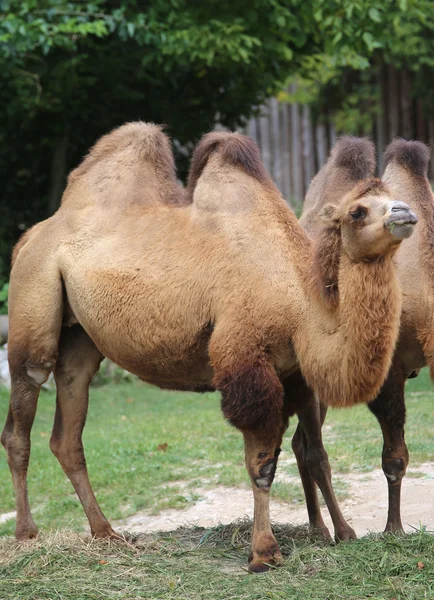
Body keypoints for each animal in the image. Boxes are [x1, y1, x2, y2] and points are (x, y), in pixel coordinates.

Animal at [1, 123, 418, 572]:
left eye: (392, 196)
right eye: (358, 211)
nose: (406, 213)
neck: (300, 304)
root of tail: (29, 237)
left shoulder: (294, 376)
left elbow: (310, 454)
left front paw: (338, 534)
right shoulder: (244, 360)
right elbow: (262, 465)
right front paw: (264, 553)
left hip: (80, 338)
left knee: (68, 427)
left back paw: (106, 534)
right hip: (33, 294)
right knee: (23, 408)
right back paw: (27, 535)